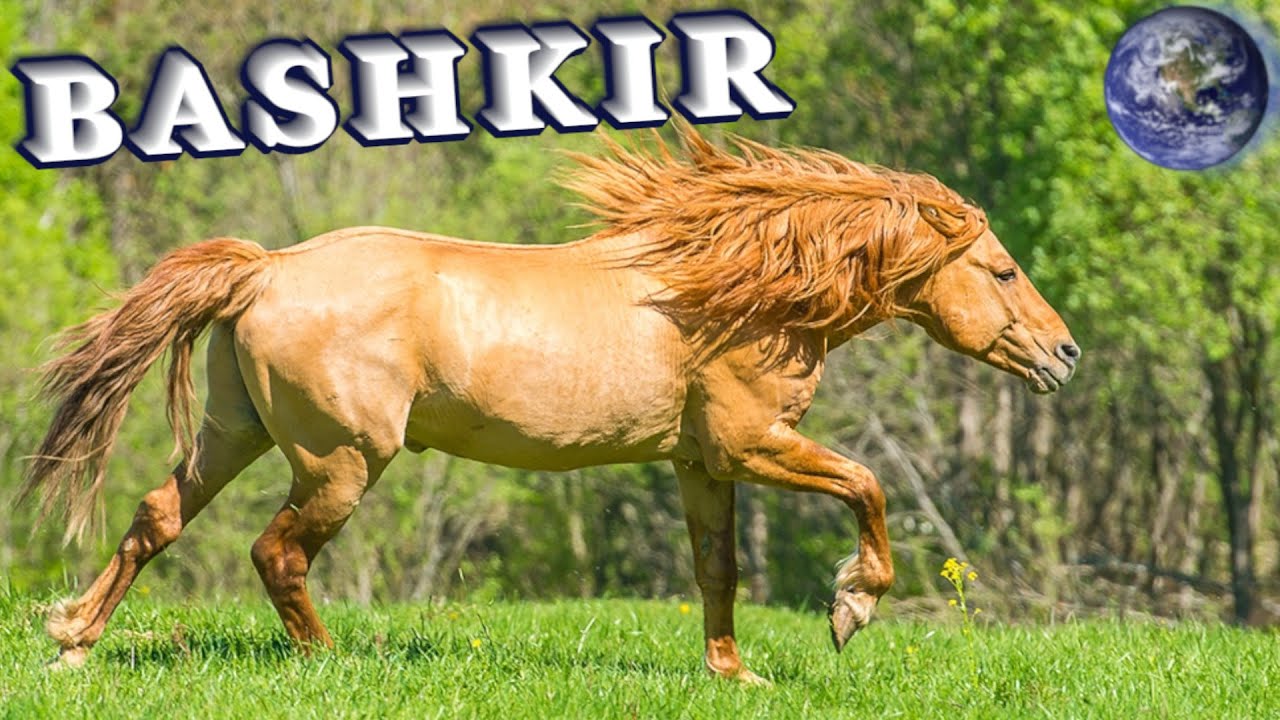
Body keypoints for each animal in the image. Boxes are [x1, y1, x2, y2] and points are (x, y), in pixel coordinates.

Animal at [24, 127, 1078, 680]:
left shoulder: (701, 462)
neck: (729, 291)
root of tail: (268, 268)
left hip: (233, 433)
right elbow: (868, 486)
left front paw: (733, 672)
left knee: (156, 518)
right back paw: (337, 662)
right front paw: (850, 608)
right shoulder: (754, 442)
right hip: (342, 462)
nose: (1064, 354)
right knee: (276, 553)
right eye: (1002, 269)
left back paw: (73, 641)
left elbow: (719, 569)